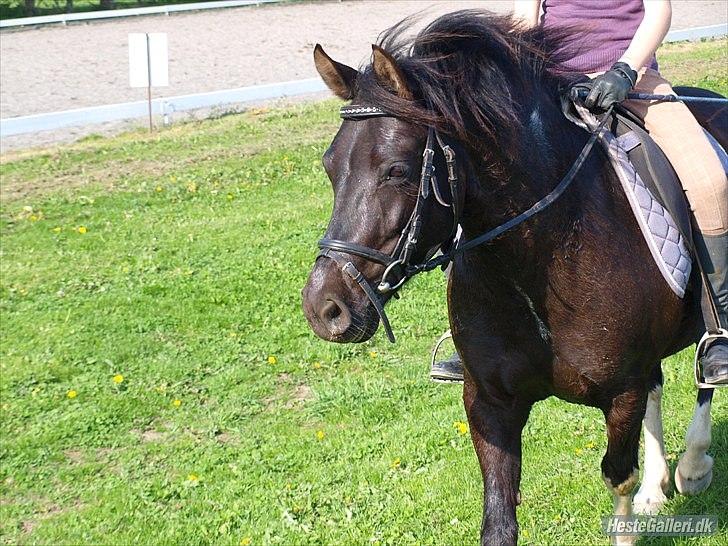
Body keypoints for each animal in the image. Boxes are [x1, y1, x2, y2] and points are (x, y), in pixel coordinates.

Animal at [300, 10, 724, 540]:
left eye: (396, 170)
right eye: (329, 166)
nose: (324, 308)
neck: (537, 265)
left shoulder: (620, 393)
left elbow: (617, 481)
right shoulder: (489, 403)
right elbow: (498, 519)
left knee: (705, 374)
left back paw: (693, 464)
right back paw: (657, 486)